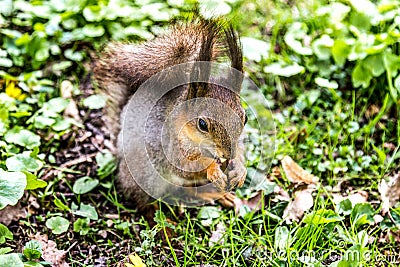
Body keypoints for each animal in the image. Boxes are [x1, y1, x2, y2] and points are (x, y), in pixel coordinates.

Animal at [93, 15, 247, 211]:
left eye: (245, 118)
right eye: (202, 124)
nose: (228, 155)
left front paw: (240, 169)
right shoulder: (170, 145)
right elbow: (187, 166)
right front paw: (213, 170)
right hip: (146, 177)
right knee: (144, 199)